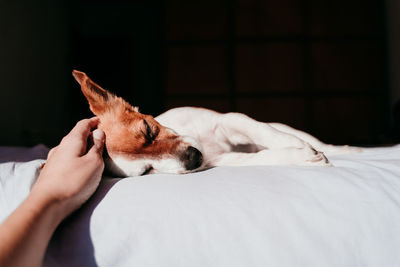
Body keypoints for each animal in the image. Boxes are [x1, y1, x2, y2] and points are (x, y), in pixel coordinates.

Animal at [72, 70, 362, 177]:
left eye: (149, 130)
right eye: (146, 171)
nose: (192, 158)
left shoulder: (228, 120)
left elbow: (263, 131)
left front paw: (299, 147)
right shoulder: (219, 159)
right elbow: (259, 158)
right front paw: (301, 156)